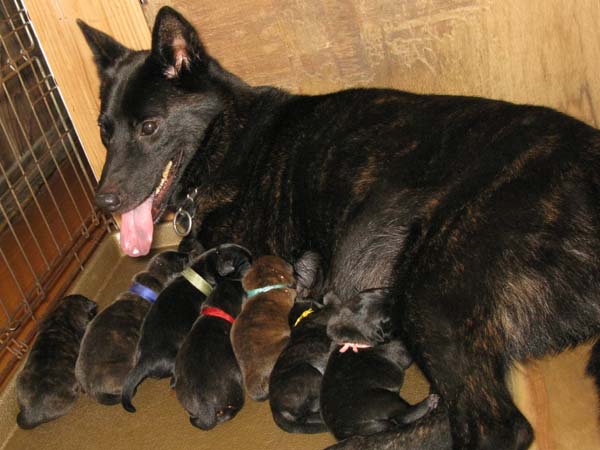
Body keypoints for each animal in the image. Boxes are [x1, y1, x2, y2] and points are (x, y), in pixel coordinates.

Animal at [321, 289, 439, 440]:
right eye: (389, 319)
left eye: (386, 291)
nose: (405, 303)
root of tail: (352, 429)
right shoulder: (399, 349)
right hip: (386, 398)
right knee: (402, 416)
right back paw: (429, 402)